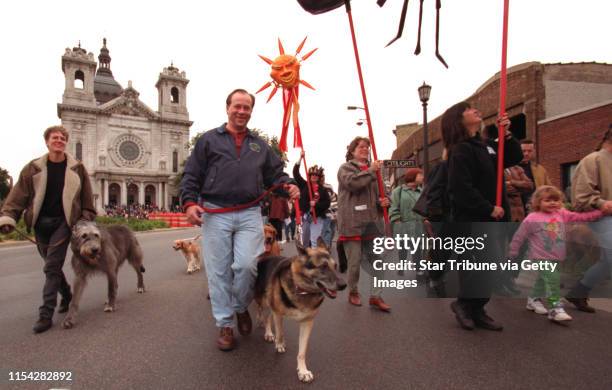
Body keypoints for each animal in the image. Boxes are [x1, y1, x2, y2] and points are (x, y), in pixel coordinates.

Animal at [253, 236, 346, 382]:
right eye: (323, 267)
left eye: (335, 266)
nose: (344, 285)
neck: (303, 290)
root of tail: (264, 258)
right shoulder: (278, 314)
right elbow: (280, 333)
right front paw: (280, 344)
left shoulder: (307, 323)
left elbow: (302, 351)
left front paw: (302, 371)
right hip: (265, 302)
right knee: (264, 315)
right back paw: (268, 332)